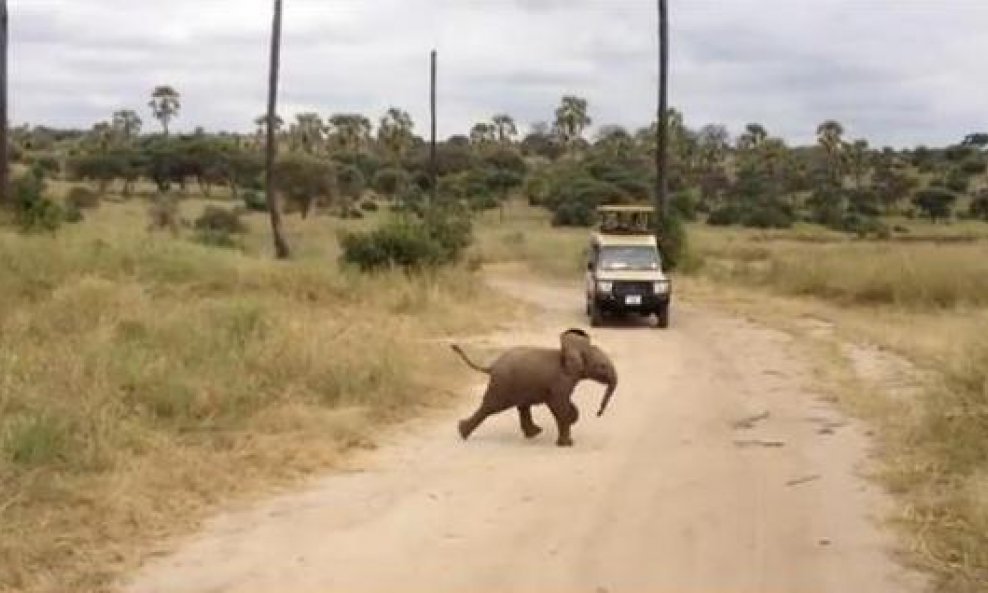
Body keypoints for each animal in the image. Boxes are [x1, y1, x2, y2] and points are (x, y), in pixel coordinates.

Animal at [450, 328, 616, 444]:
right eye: (602, 366)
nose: (598, 413)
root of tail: (491, 366)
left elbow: (565, 404)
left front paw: (572, 418)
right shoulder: (560, 382)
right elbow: (559, 406)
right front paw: (567, 443)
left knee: (522, 406)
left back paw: (534, 433)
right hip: (502, 384)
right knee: (491, 407)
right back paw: (462, 432)